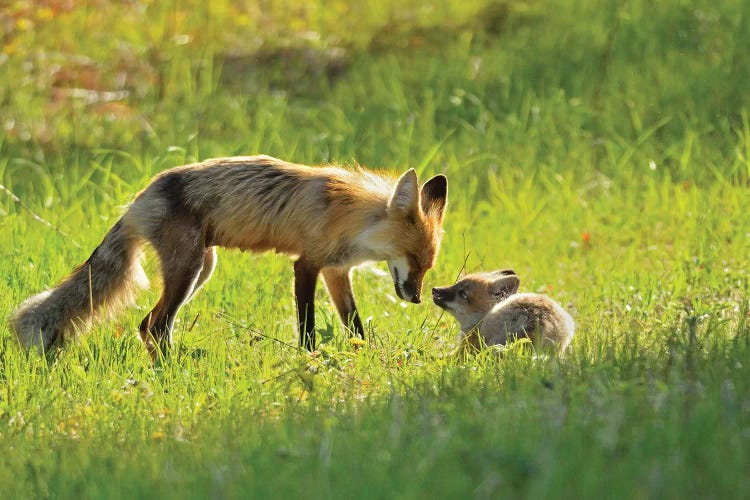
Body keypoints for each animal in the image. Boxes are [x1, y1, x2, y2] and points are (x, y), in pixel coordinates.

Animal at [11, 155, 450, 356]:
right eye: (414, 259)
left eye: (428, 265)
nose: (415, 298)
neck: (351, 217)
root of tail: (140, 197)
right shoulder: (307, 263)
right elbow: (307, 324)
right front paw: (311, 359)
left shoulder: (337, 271)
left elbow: (354, 323)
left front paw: (368, 354)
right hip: (188, 269)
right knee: (154, 324)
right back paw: (173, 369)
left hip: (202, 268)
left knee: (147, 325)